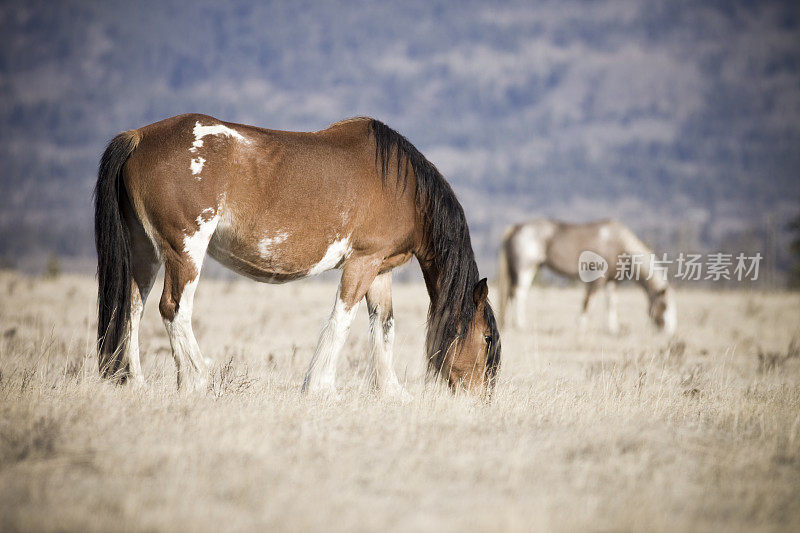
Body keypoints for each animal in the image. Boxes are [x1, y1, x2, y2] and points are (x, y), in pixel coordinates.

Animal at [95, 114, 500, 396]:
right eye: (487, 339)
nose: (481, 397)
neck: (405, 186)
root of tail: (139, 137)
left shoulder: (380, 268)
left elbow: (383, 324)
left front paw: (392, 394)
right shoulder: (362, 263)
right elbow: (342, 320)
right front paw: (320, 388)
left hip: (145, 251)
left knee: (132, 307)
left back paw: (136, 384)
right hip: (185, 250)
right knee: (174, 309)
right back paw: (197, 381)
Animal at [500, 216, 676, 332]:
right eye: (664, 305)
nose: (669, 329)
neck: (619, 243)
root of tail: (517, 227)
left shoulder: (612, 281)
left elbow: (611, 302)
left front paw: (612, 328)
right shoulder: (597, 278)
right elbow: (588, 300)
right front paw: (581, 324)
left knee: (511, 294)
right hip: (527, 269)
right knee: (519, 293)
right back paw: (521, 324)